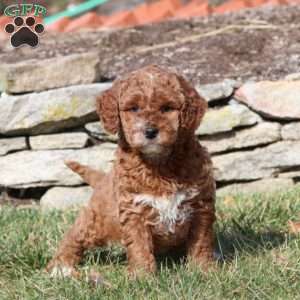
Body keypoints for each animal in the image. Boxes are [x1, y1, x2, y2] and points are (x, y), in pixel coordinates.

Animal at [46, 64, 216, 278]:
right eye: (134, 108)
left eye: (167, 108)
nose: (150, 131)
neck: (159, 164)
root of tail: (103, 179)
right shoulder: (134, 209)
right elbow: (139, 245)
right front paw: (142, 276)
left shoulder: (201, 205)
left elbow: (201, 243)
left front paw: (203, 271)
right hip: (97, 219)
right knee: (74, 236)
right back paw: (61, 267)